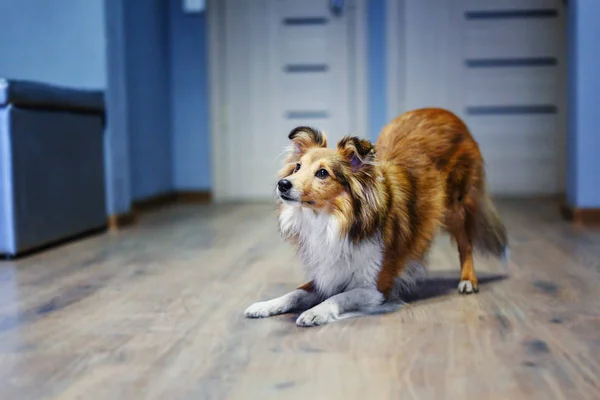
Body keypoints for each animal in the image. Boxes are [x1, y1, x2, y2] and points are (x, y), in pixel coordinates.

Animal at [243, 108, 506, 326]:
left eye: (322, 173)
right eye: (297, 167)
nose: (283, 184)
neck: (333, 221)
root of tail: (447, 113)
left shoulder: (376, 287)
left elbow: (340, 296)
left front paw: (315, 312)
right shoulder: (327, 273)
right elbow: (295, 293)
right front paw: (264, 305)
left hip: (456, 206)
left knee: (466, 244)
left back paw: (468, 281)